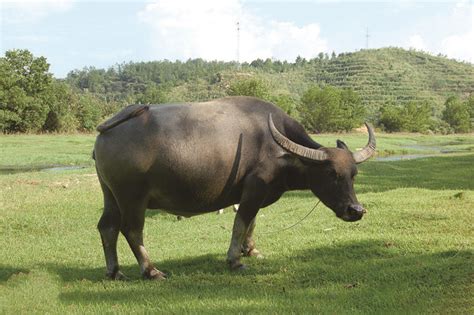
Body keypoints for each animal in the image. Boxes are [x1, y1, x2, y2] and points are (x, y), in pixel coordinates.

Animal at [93, 95, 374, 280]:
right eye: (331, 173)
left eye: (354, 174)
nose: (356, 210)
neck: (276, 148)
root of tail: (107, 130)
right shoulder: (253, 190)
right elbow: (241, 222)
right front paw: (235, 260)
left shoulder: (254, 194)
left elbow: (252, 223)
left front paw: (251, 250)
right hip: (132, 197)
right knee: (132, 230)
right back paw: (151, 270)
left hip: (110, 195)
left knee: (107, 227)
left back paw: (114, 271)